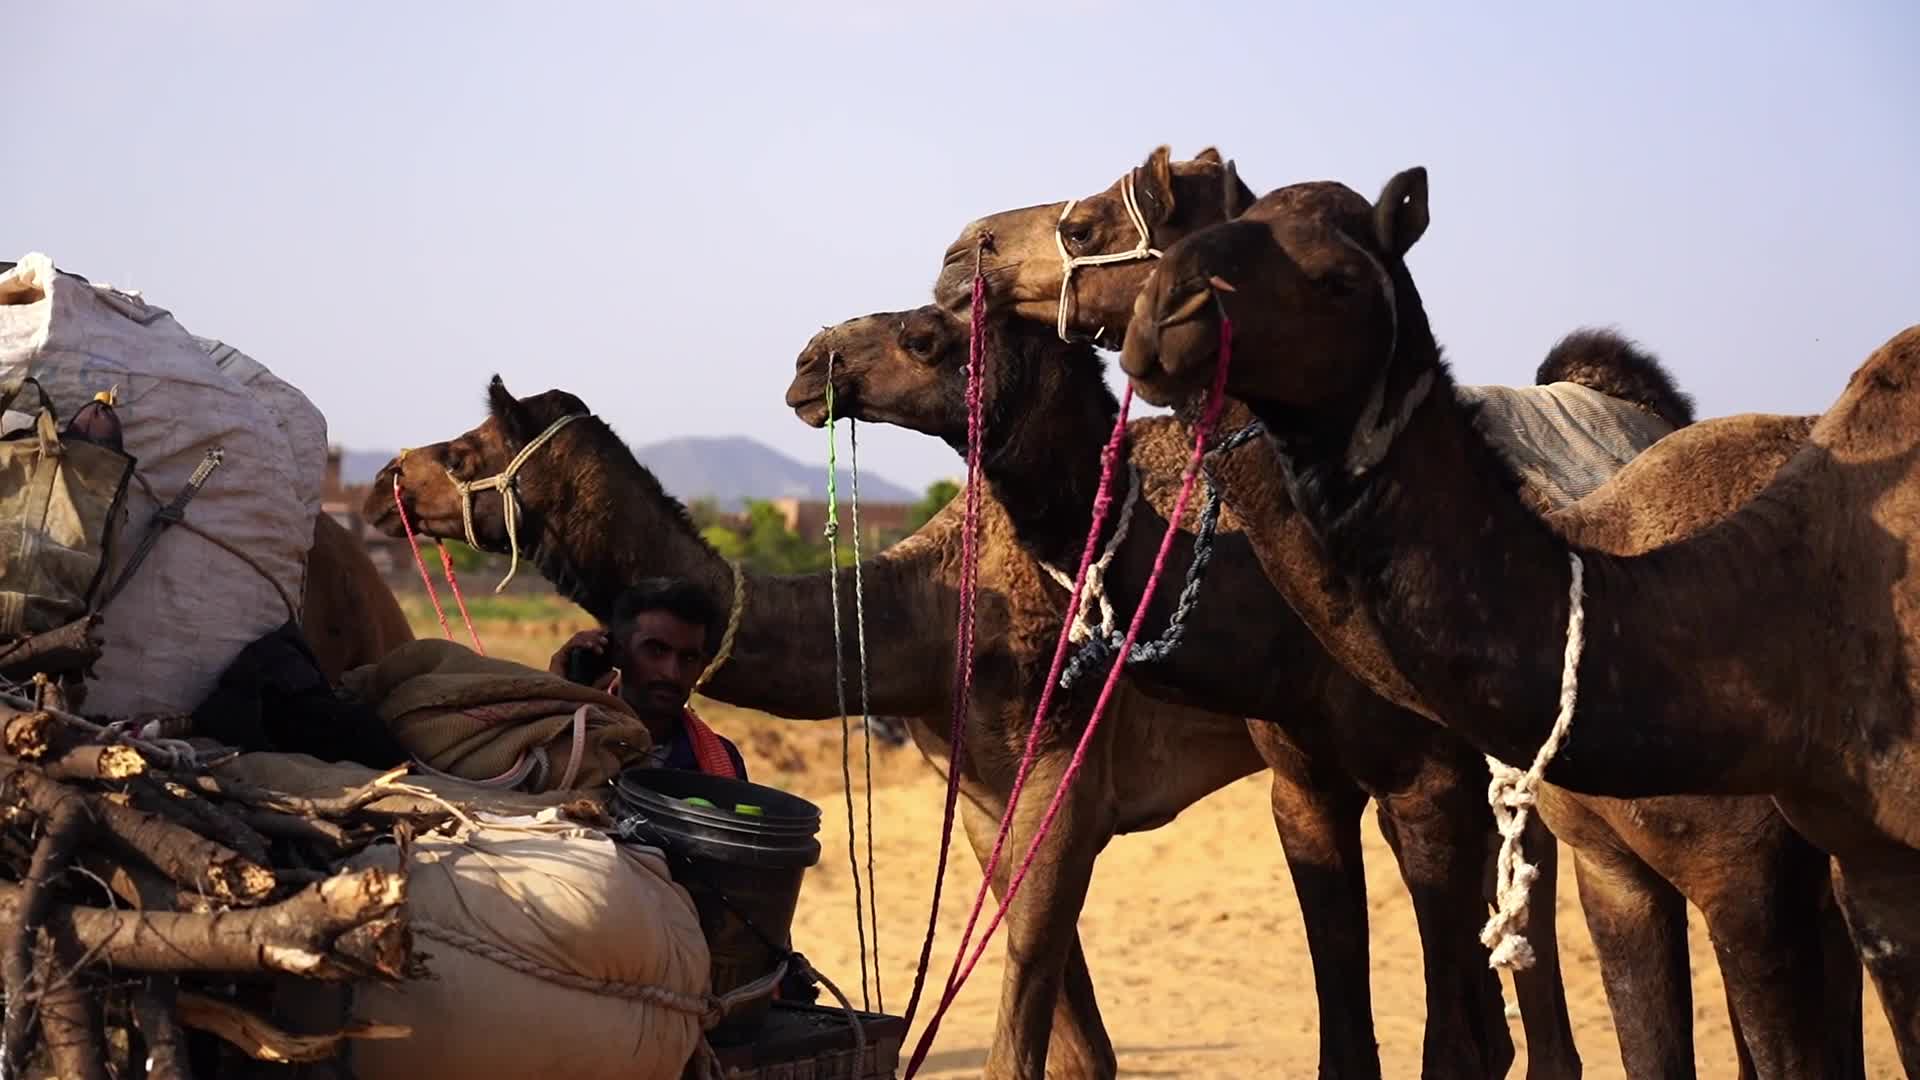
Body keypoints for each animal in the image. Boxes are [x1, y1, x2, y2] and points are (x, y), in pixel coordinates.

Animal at [363, 381, 1318, 1080]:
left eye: (466, 451)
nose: (383, 485)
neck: (933, 618)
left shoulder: (1066, 772)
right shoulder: (984, 797)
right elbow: (1083, 1053)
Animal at [933, 146, 1864, 1076]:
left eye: (1091, 225)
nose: (959, 255)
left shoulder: (1433, 788)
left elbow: (1458, 1042)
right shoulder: (1304, 788)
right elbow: (1349, 1034)